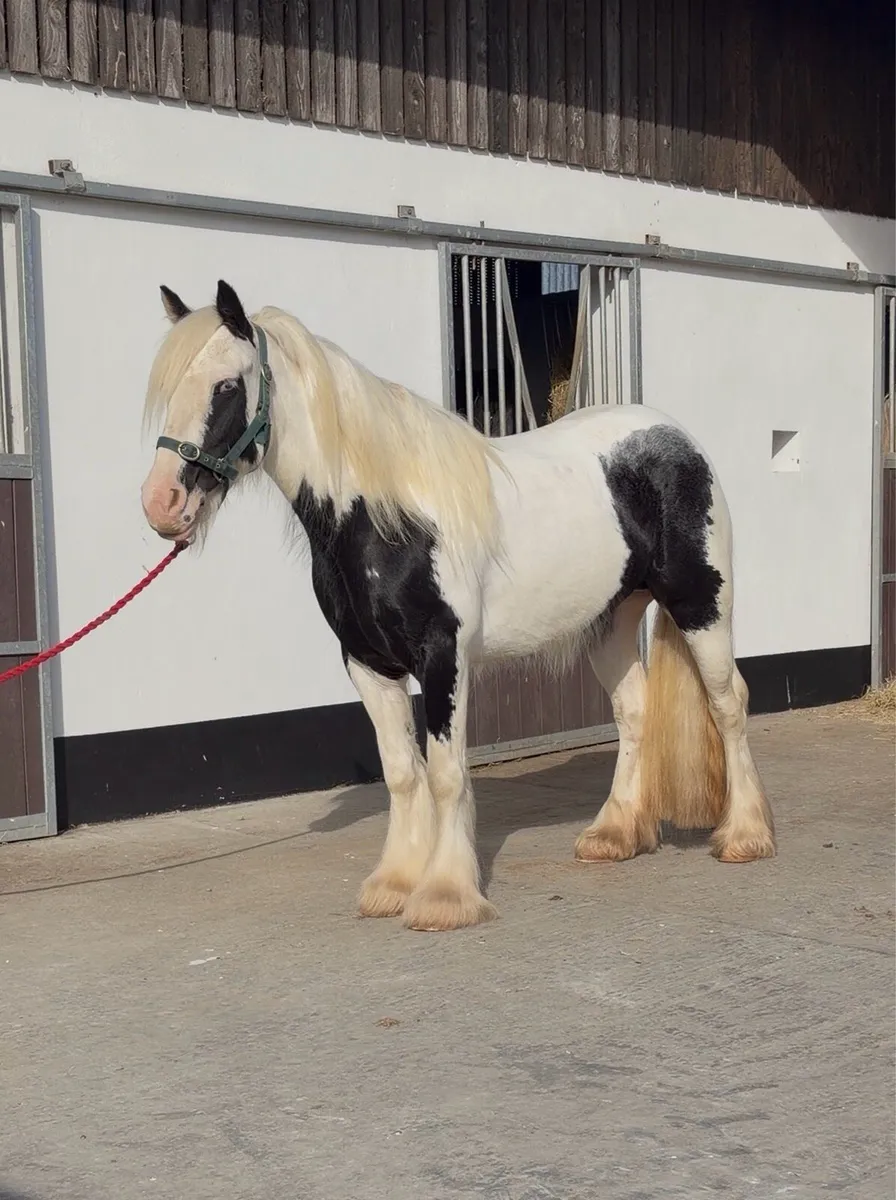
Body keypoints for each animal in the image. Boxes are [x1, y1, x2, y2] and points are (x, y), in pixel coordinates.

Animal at [140, 280, 776, 932]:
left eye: (226, 386)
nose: (161, 503)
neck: (386, 516)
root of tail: (673, 436)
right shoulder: (367, 663)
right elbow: (401, 773)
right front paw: (394, 884)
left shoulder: (443, 656)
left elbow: (446, 774)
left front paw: (445, 895)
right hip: (612, 622)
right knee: (635, 712)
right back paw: (614, 835)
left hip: (703, 605)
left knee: (729, 703)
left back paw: (745, 836)